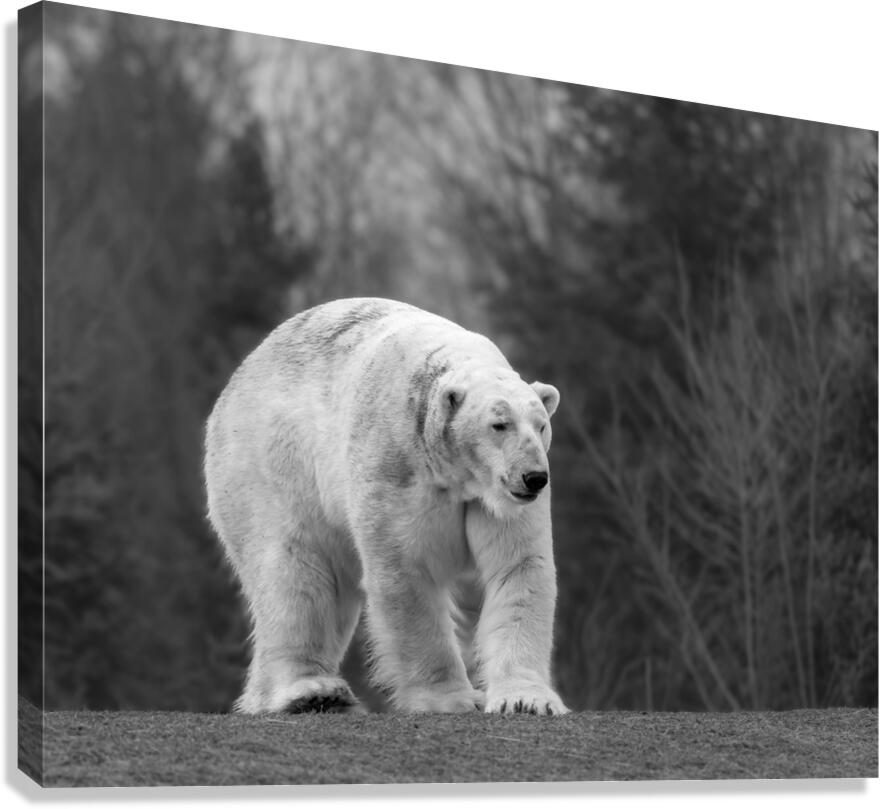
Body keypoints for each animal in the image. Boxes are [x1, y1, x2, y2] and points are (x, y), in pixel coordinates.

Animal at [204, 297, 568, 715]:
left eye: (541, 425)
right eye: (499, 424)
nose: (534, 476)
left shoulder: (496, 500)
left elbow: (519, 568)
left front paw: (526, 699)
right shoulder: (394, 465)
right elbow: (406, 572)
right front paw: (450, 698)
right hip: (270, 468)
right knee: (293, 572)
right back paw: (312, 690)